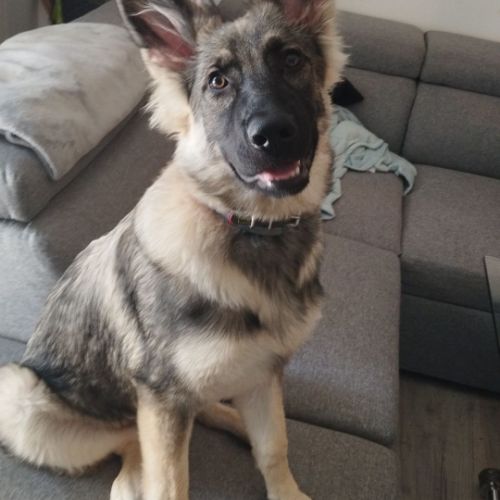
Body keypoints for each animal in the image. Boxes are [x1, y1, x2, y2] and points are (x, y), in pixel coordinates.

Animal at [0, 1, 345, 498]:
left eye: (292, 60)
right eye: (217, 81)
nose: (273, 134)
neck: (251, 228)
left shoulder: (262, 374)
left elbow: (273, 447)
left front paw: (286, 490)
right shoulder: (161, 398)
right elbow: (169, 482)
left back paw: (231, 418)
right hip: (23, 395)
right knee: (129, 440)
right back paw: (132, 478)